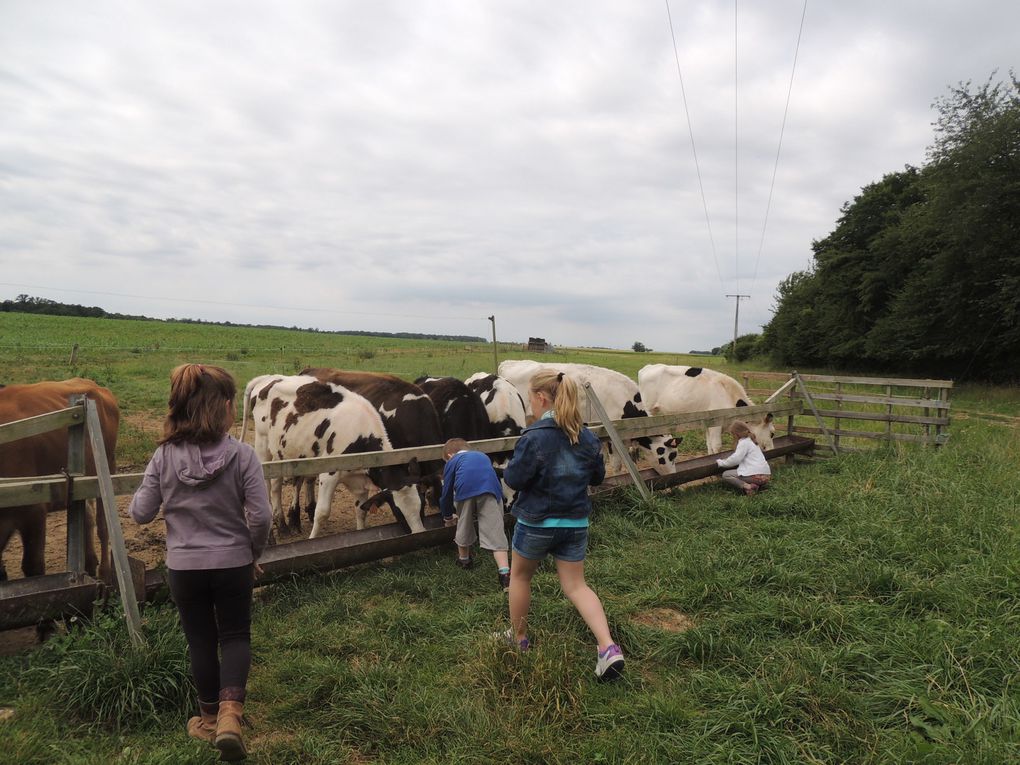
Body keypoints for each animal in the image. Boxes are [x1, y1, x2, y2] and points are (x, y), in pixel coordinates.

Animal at [0, 381, 119, 583]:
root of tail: (96, 386)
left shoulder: (35, 511)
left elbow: (33, 567)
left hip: (107, 465)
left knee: (103, 526)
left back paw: (105, 572)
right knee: (87, 516)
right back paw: (89, 563)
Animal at [244, 377, 424, 538]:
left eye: (421, 507)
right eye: (397, 511)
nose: (419, 534)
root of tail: (268, 379)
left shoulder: (360, 481)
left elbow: (361, 511)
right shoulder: (328, 474)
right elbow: (322, 513)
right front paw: (312, 540)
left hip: (284, 453)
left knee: (277, 483)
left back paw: (282, 525)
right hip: (262, 444)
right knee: (267, 483)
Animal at [636, 363, 771, 454]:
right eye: (772, 433)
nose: (771, 449)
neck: (727, 394)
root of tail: (648, 367)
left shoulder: (708, 423)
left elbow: (709, 444)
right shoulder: (716, 424)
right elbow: (717, 446)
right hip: (648, 410)